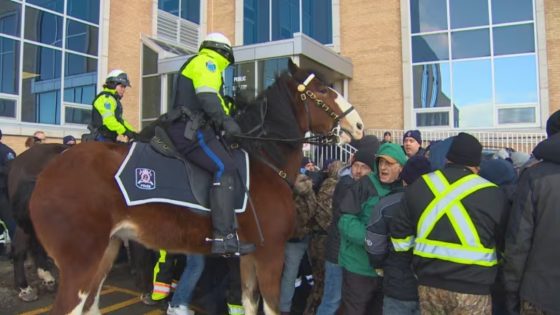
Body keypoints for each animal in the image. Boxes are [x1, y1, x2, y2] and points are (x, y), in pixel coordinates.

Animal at [30, 60, 366, 314]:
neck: (263, 159)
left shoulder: (249, 255)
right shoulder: (271, 253)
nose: (359, 125)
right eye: (322, 90)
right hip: (81, 263)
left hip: (106, 253)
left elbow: (248, 302)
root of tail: (46, 171)